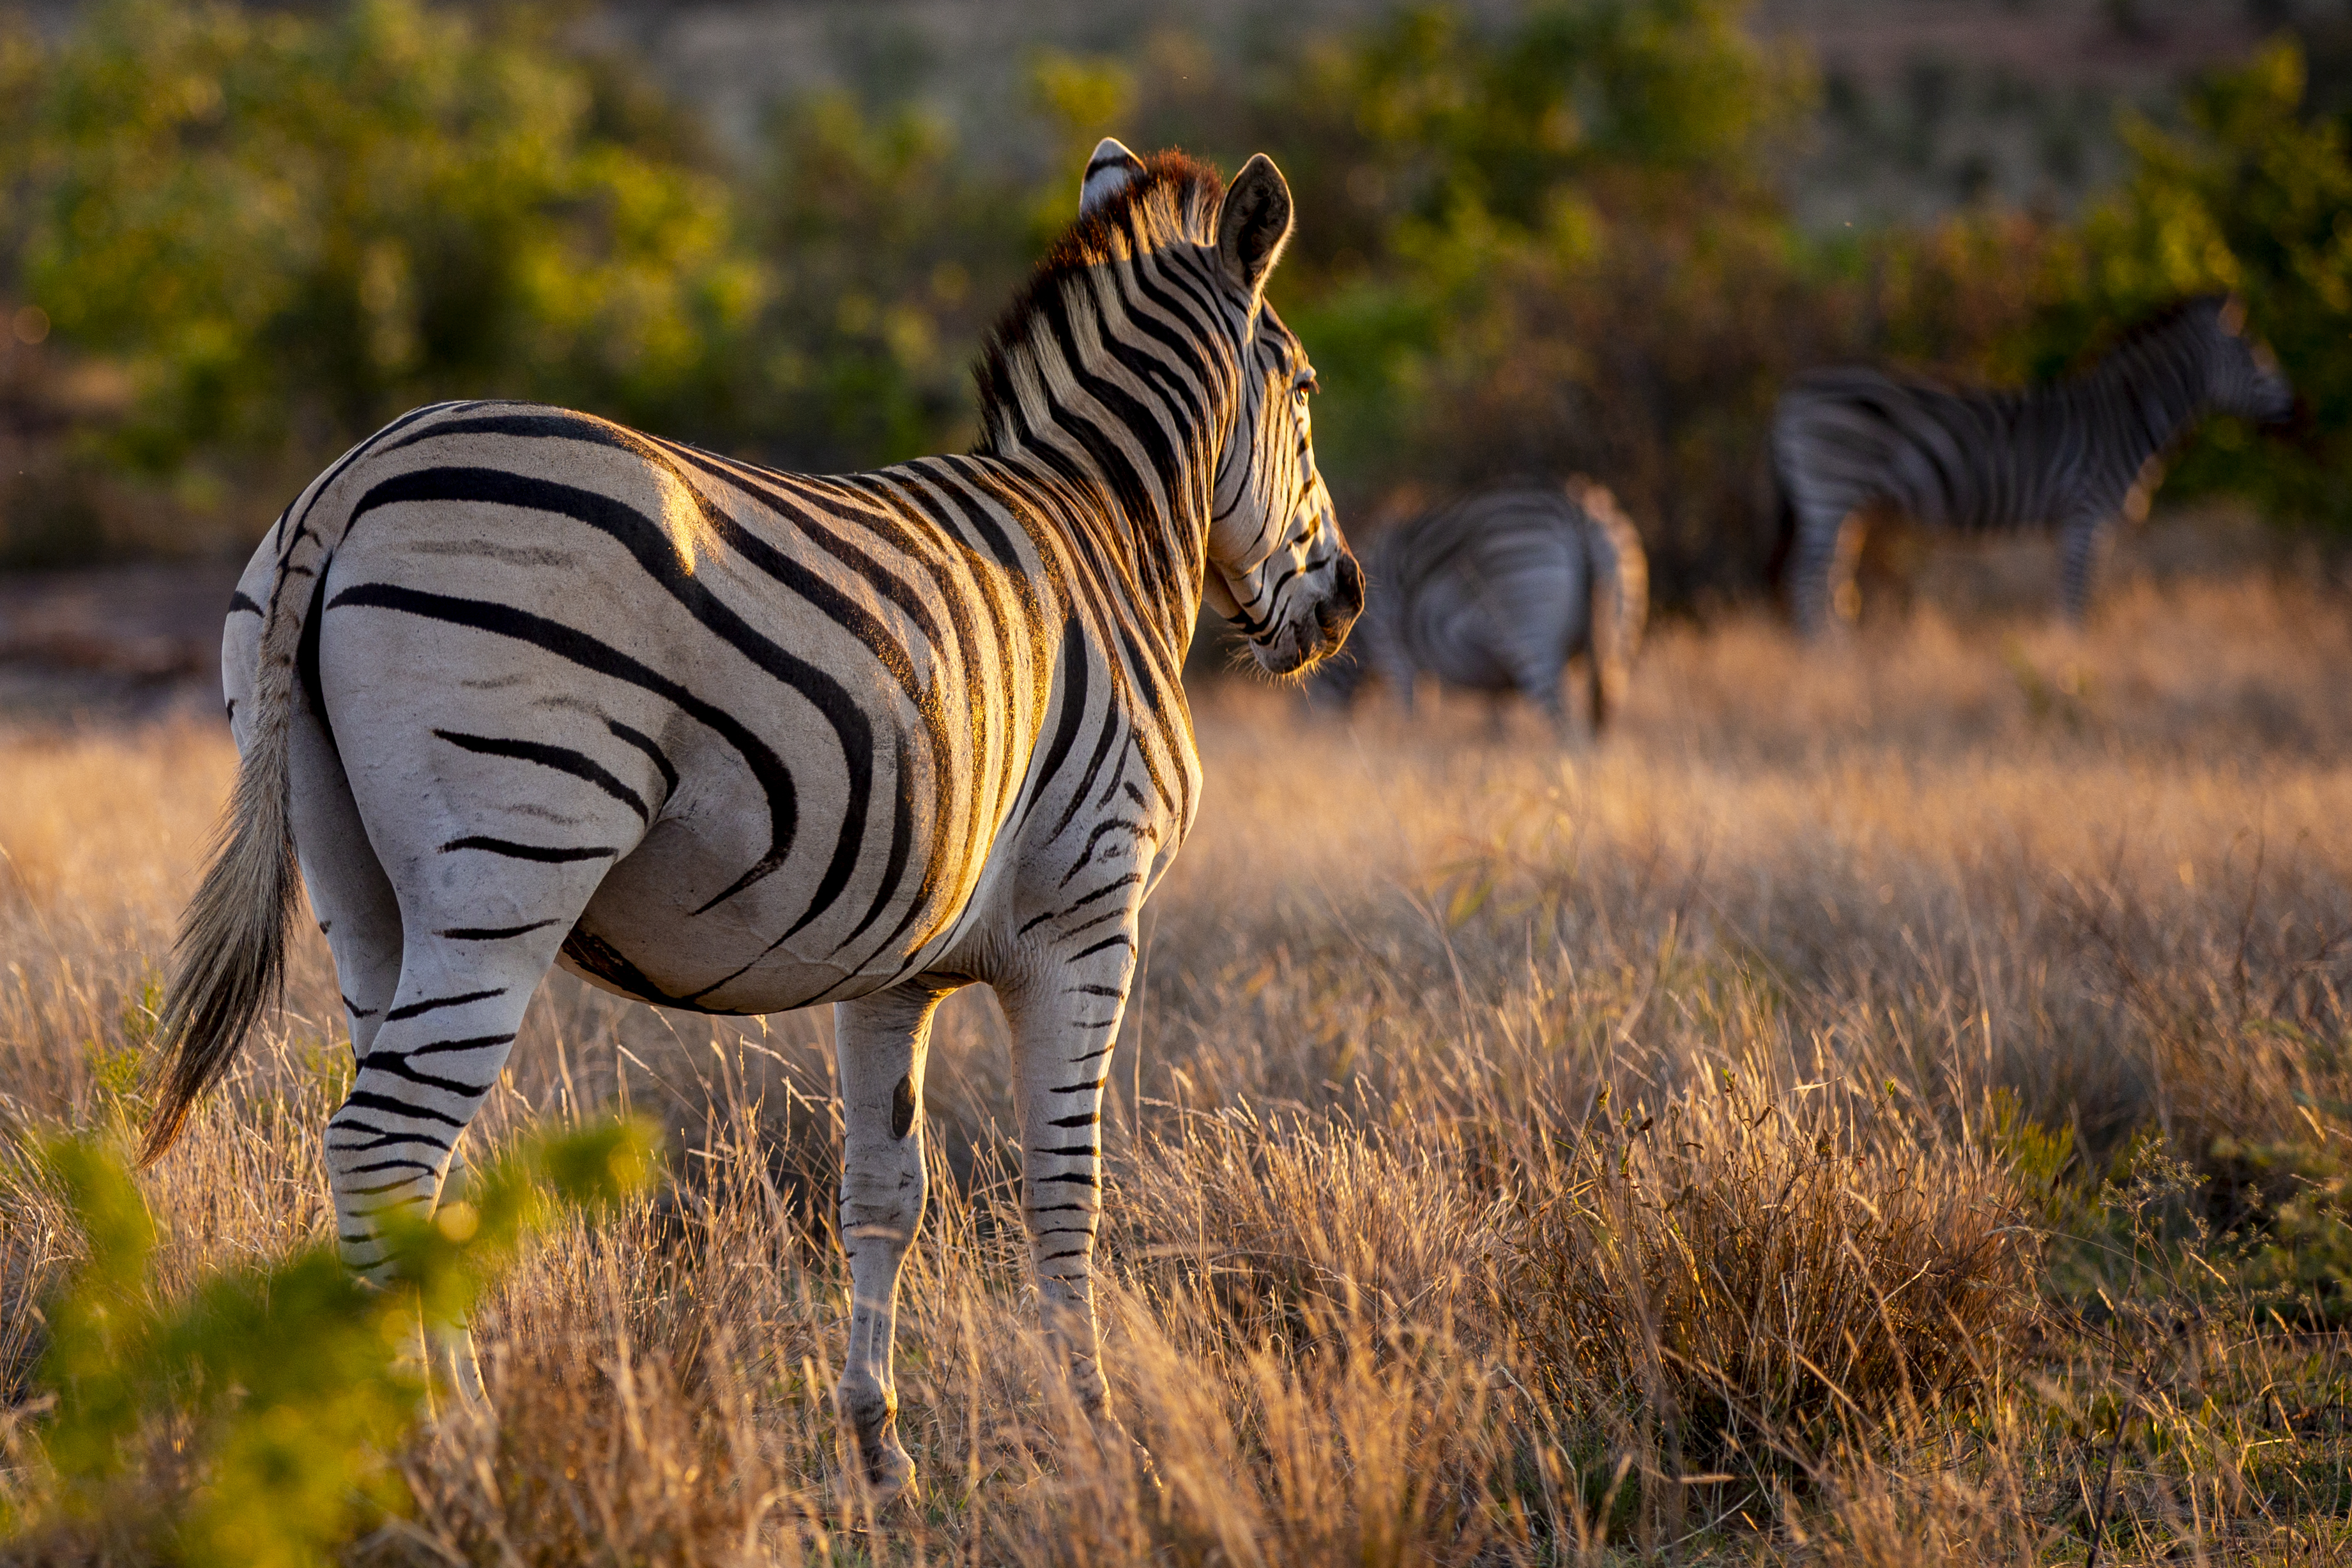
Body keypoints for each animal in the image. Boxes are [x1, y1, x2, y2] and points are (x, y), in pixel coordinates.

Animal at [138, 139, 1361, 1504]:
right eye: (1306, 391)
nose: (1347, 605)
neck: (1106, 530)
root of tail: (352, 473)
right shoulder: (1089, 915)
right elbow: (1065, 1188)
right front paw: (1096, 1441)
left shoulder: (898, 966)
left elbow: (884, 1191)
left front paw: (880, 1451)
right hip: (509, 860)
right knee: (385, 1147)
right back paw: (448, 1453)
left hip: (358, 886)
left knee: (407, 1162)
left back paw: (399, 1451)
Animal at [1310, 478, 1646, 739]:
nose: (1309, 735)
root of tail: (1579, 508)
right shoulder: (1496, 680)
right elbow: (1495, 724)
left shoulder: (1393, 649)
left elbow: (1412, 713)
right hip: (1620, 632)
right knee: (1602, 718)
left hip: (1529, 621)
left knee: (1566, 724)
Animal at [1774, 294, 2294, 634]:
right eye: (2257, 357)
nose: (2298, 412)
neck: (2125, 418)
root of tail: (1797, 388)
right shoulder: (2087, 516)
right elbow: (2076, 599)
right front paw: (2072, 660)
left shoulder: (2075, 524)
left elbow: (2071, 595)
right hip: (1831, 489)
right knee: (1807, 580)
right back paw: (1829, 664)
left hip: (1844, 504)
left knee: (1831, 581)